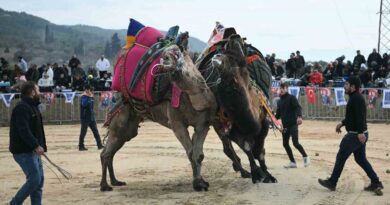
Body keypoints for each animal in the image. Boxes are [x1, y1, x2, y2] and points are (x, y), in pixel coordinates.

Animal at [99, 44, 216, 191]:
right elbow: (191, 153)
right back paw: (104, 185)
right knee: (106, 153)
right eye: (166, 55)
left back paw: (115, 181)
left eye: (175, 54)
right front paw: (197, 184)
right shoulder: (177, 123)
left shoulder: (202, 125)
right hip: (119, 121)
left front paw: (201, 182)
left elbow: (199, 155)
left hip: (128, 128)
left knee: (112, 151)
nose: (163, 61)